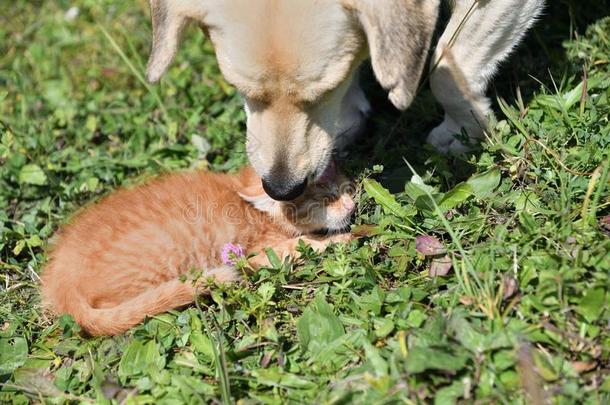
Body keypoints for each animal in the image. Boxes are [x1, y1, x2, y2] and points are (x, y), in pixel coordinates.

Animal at [40, 164, 354, 334]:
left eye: (342, 186)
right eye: (324, 200)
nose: (352, 205)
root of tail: (61, 283)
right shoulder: (258, 252)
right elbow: (303, 244)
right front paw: (342, 239)